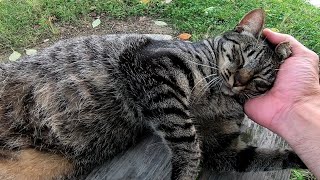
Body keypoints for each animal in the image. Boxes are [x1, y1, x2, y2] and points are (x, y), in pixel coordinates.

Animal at [0, 8, 304, 180]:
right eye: (240, 57)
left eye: (260, 79)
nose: (238, 81)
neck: (218, 97)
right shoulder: (156, 67)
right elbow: (187, 139)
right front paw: (186, 174)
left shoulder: (223, 147)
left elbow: (265, 157)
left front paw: (299, 159)